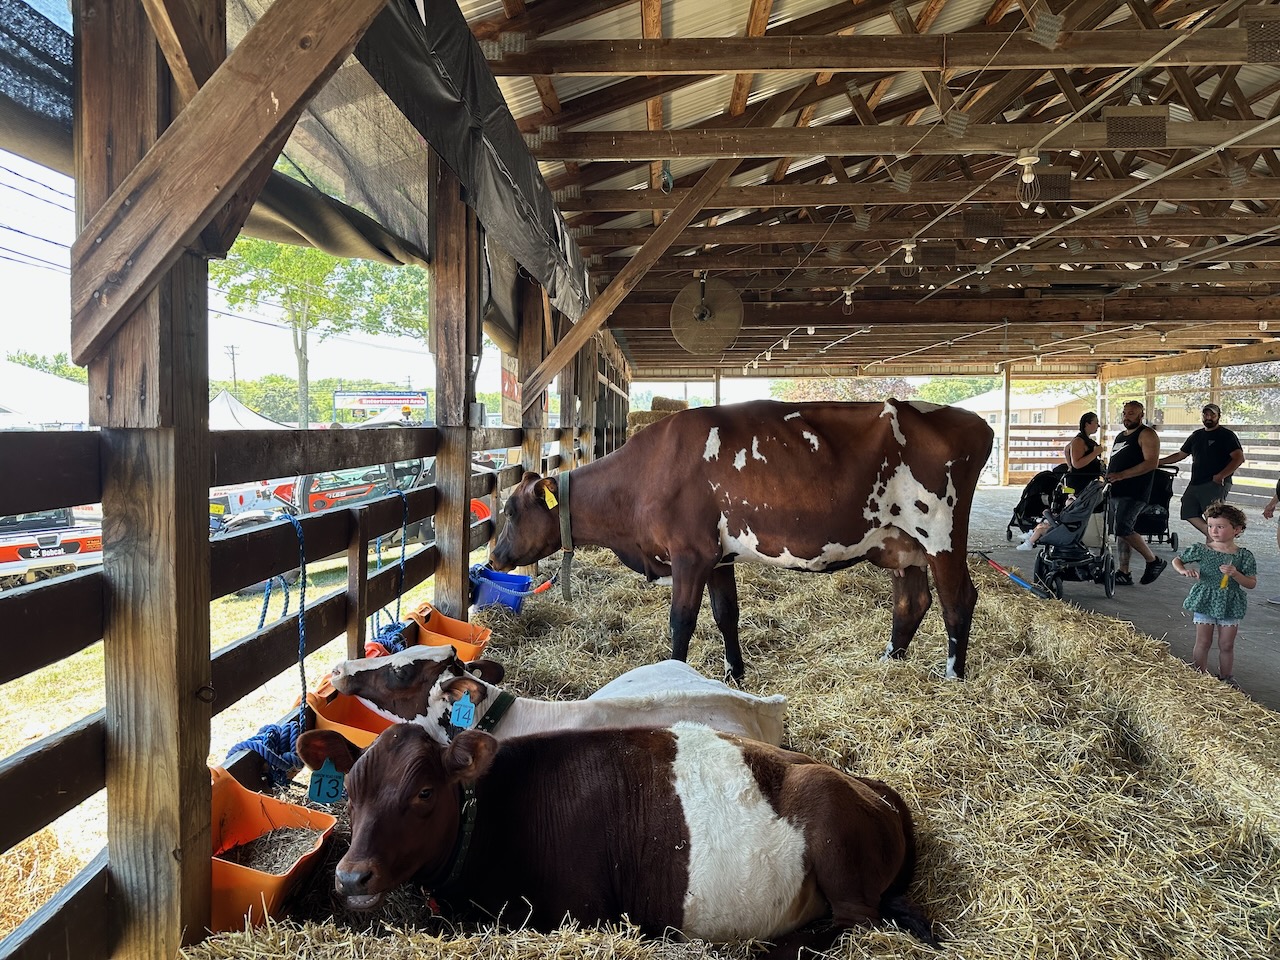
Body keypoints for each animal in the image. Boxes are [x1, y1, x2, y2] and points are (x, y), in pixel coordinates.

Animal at [298, 722, 938, 957]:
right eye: (348, 790)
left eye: (425, 792)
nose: (350, 875)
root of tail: (869, 784)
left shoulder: (580, 911)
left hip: (831, 833)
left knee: (857, 919)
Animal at [490, 399, 994, 680]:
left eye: (510, 511)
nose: (493, 557)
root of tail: (975, 422)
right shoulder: (718, 557)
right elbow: (725, 615)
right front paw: (735, 672)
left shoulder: (690, 554)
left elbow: (681, 622)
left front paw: (676, 673)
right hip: (902, 544)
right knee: (912, 602)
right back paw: (890, 661)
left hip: (942, 534)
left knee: (957, 601)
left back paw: (953, 677)